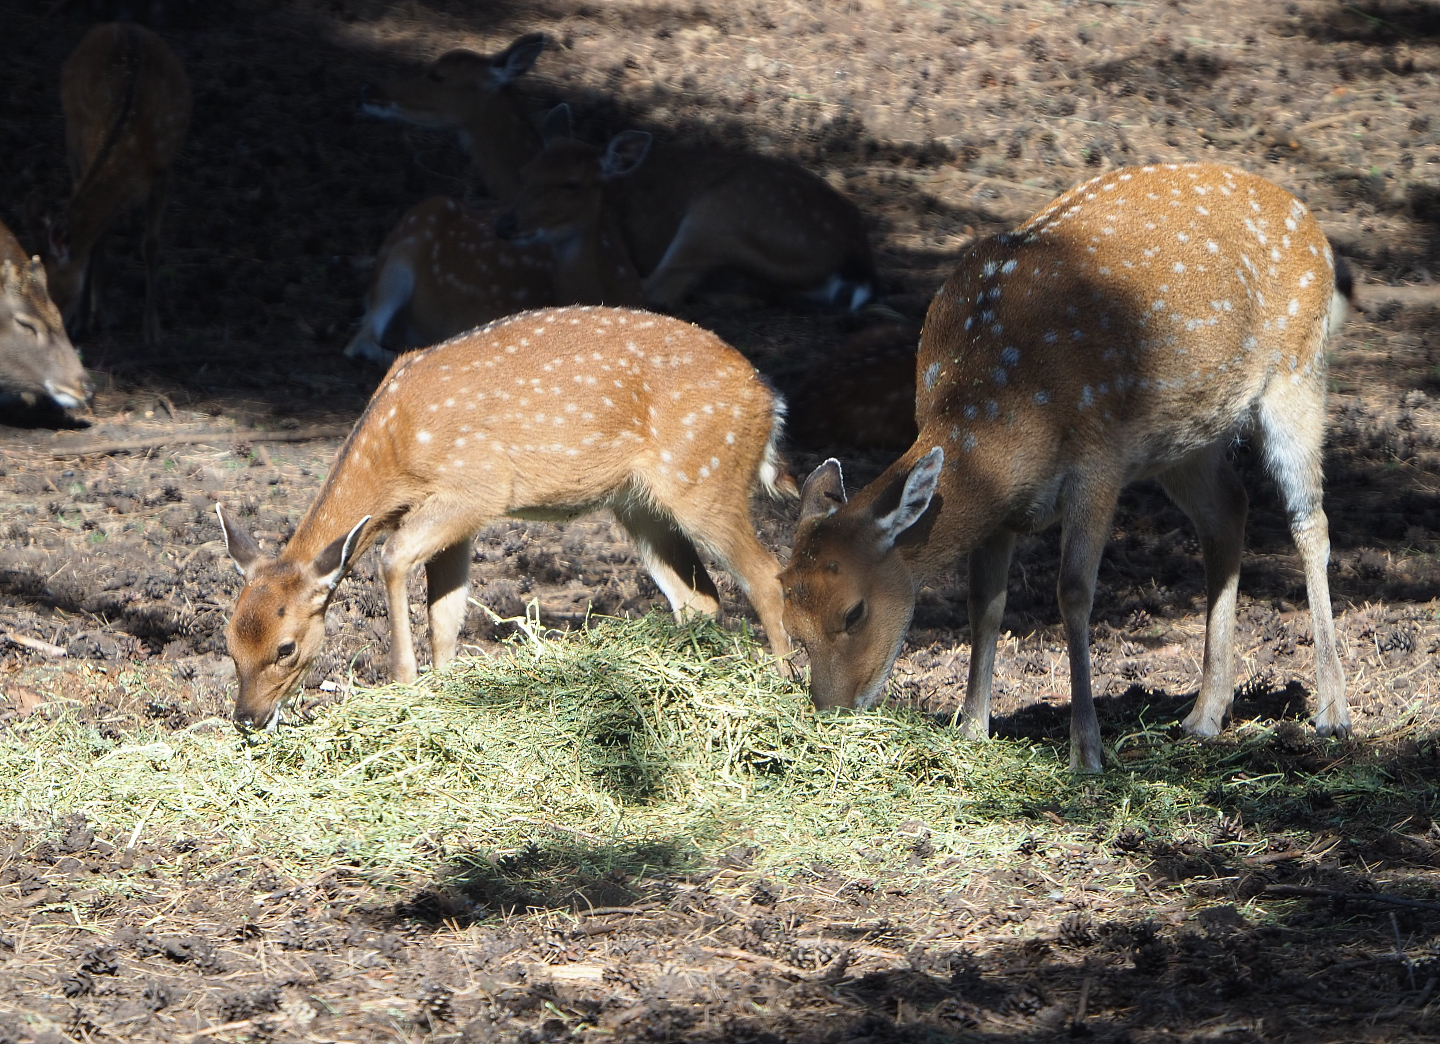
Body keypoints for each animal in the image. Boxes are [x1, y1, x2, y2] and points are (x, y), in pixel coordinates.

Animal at [45, 22, 191, 345]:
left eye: (53, 293)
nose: (56, 330)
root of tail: (125, 25)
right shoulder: (80, 155)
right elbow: (95, 241)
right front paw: (86, 320)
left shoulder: (163, 169)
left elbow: (151, 245)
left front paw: (152, 328)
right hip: (69, 138)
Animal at [219, 306, 794, 731]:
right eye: (228, 643)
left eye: (286, 647)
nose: (246, 718)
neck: (398, 454)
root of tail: (770, 401)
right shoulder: (460, 518)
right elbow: (446, 614)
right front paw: (444, 688)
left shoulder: (477, 487)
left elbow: (393, 556)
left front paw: (405, 684)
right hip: (639, 505)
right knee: (698, 597)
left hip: (706, 476)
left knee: (767, 575)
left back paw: (788, 689)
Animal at [779, 163, 1354, 773]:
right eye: (790, 616)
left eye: (855, 611)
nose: (831, 709)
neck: (1005, 414)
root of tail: (1309, 222)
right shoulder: (1003, 506)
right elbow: (985, 601)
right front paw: (973, 728)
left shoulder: (1099, 460)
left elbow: (1074, 592)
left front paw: (1086, 751)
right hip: (1185, 438)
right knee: (1227, 510)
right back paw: (1204, 715)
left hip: (1298, 372)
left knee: (1310, 524)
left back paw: (1332, 712)